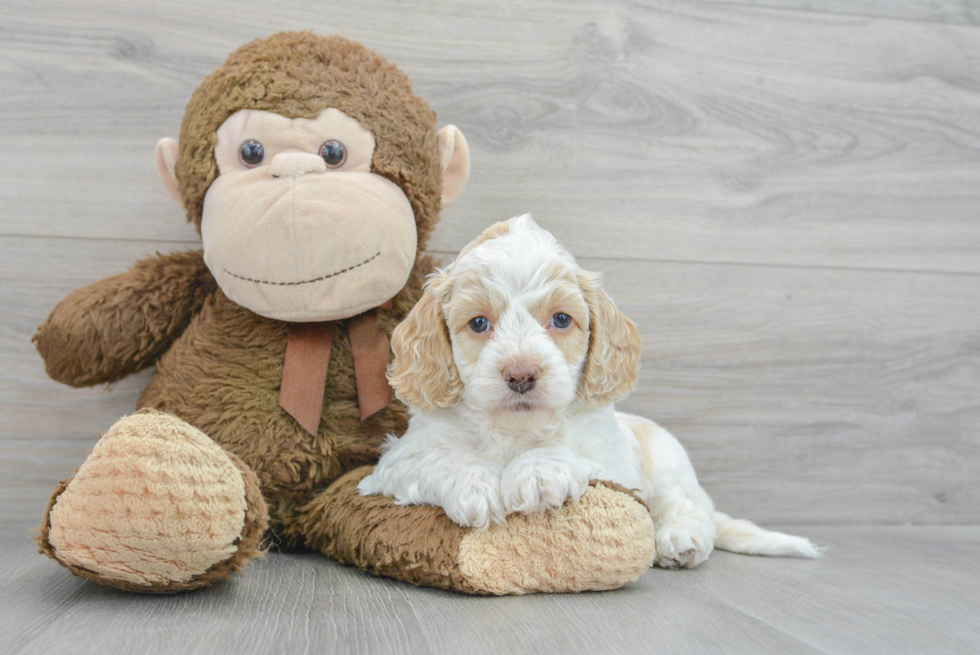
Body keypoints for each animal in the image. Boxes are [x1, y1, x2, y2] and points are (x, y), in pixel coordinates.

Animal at [360, 215, 820, 568]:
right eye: (478, 323)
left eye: (562, 319)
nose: (521, 374)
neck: (515, 430)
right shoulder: (396, 461)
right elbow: (438, 457)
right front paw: (475, 485)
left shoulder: (610, 463)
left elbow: (573, 454)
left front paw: (539, 471)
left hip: (669, 460)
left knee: (686, 507)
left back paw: (681, 539)